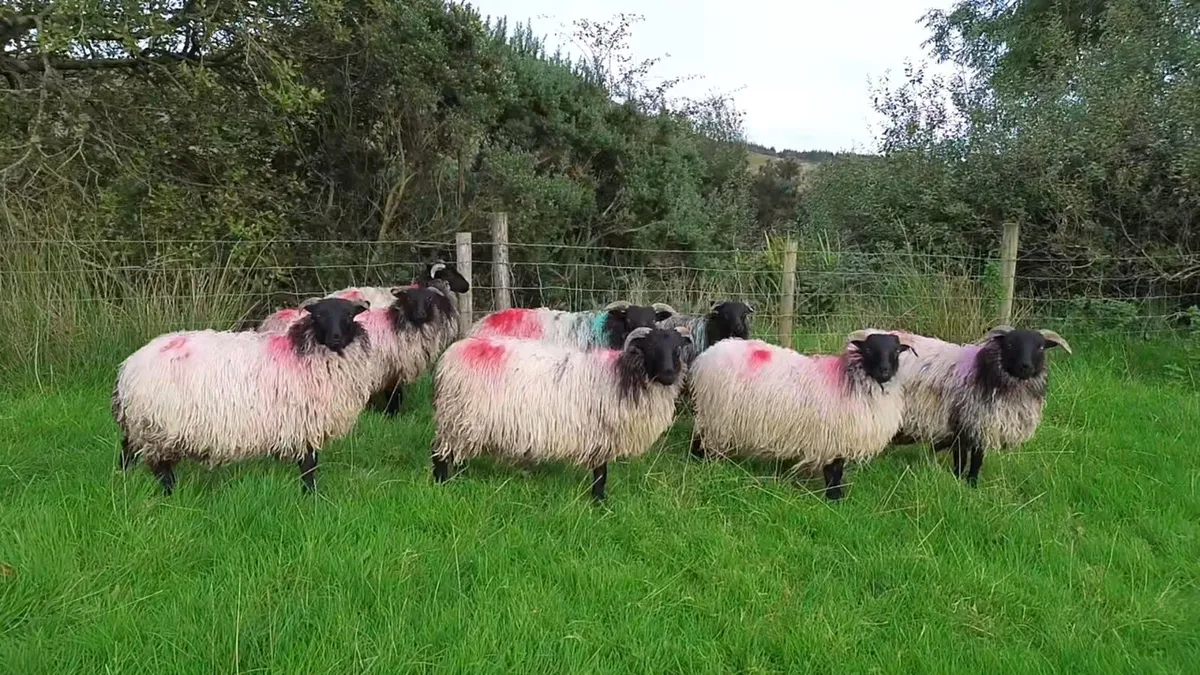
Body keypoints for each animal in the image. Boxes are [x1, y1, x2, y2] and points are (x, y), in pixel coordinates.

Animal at [112, 297, 373, 495]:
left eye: (349, 315)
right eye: (319, 315)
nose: (335, 337)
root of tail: (129, 368)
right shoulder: (304, 423)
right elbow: (309, 465)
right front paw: (310, 495)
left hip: (141, 424)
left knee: (127, 452)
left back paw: (122, 481)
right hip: (161, 426)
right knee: (159, 468)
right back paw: (168, 494)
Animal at [430, 325, 694, 502]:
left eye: (677, 349)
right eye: (651, 349)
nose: (669, 375)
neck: (621, 374)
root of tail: (449, 356)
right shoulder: (601, 433)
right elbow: (601, 471)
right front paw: (598, 501)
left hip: (464, 419)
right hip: (458, 412)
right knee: (439, 451)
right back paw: (442, 483)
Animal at [688, 330, 915, 500]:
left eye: (896, 350)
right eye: (869, 349)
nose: (885, 371)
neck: (852, 380)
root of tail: (706, 356)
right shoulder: (833, 439)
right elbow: (834, 471)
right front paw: (834, 498)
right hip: (715, 413)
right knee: (703, 438)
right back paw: (703, 462)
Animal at [891, 325, 1072, 486]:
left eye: (1040, 347)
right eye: (1010, 344)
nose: (1025, 366)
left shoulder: (981, 427)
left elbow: (976, 459)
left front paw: (969, 482)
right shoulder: (965, 424)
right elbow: (964, 459)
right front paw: (964, 481)